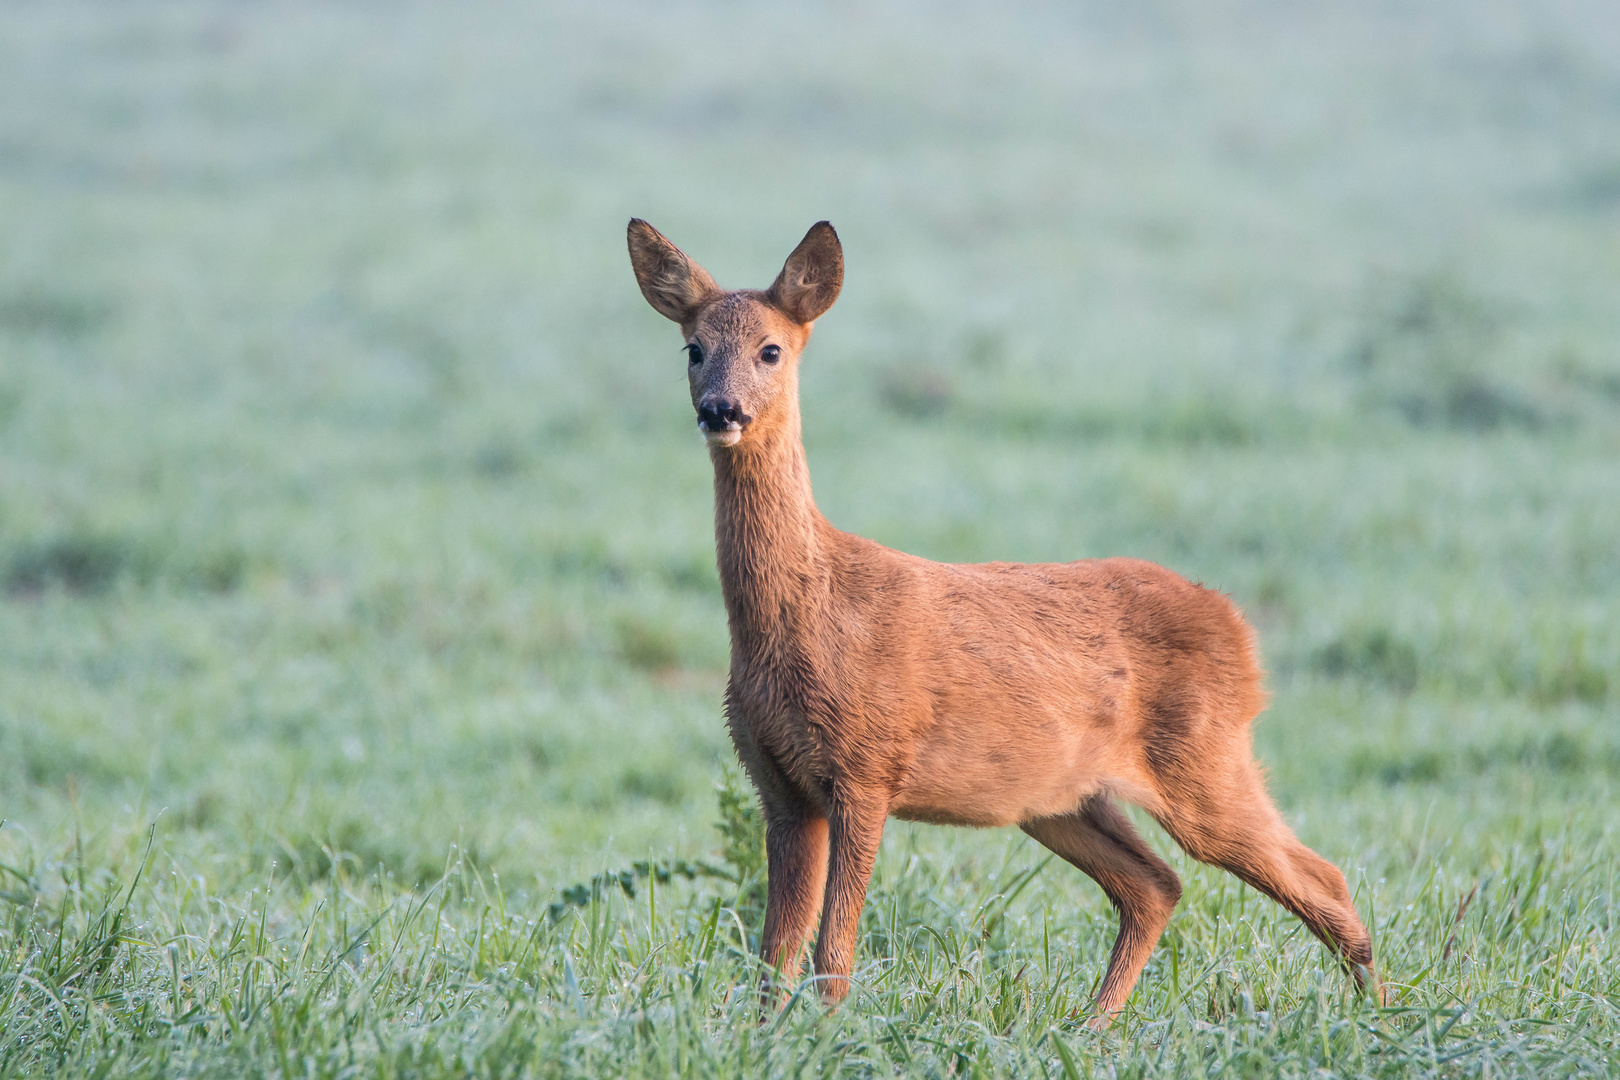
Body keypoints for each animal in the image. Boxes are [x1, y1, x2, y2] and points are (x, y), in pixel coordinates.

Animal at [618, 216, 1380, 1023]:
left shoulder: (868, 765)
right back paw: (1091, 1026)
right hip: (1063, 798)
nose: (720, 410)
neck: (806, 617)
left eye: (771, 349)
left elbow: (833, 950)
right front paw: (766, 1035)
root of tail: (1237, 626)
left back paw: (1381, 1014)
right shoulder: (779, 784)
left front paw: (827, 1030)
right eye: (693, 348)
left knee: (1321, 876)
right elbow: (775, 952)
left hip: (1205, 759)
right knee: (1156, 884)